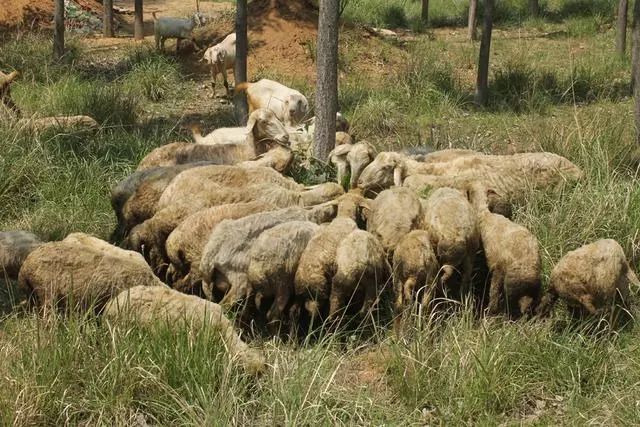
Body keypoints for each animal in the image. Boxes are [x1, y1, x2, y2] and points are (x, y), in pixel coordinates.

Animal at [464, 184, 540, 318]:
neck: (485, 215)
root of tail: (530, 275)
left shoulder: (496, 268)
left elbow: (493, 292)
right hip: (533, 292)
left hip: (511, 286)